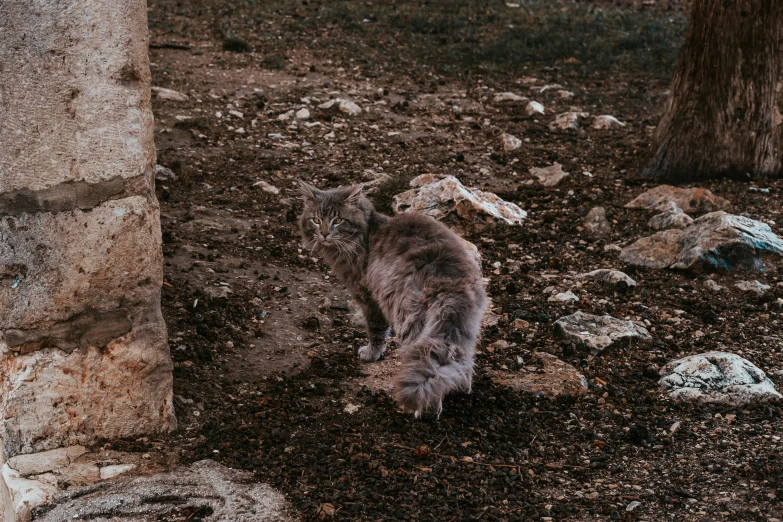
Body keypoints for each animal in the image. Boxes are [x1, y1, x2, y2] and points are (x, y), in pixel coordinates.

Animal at [298, 181, 486, 416]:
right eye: (316, 220)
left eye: (338, 220)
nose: (323, 233)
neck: (366, 233)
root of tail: (449, 279)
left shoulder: (369, 298)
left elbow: (376, 331)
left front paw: (371, 354)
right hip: (464, 326)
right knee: (460, 361)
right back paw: (461, 387)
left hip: (410, 319)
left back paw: (426, 411)